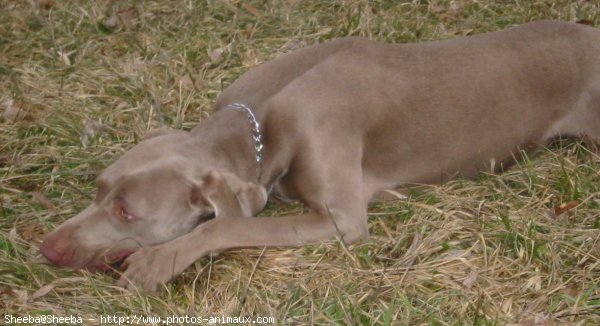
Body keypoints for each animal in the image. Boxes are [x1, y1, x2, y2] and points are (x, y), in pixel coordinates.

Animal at [41, 21, 600, 290]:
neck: (260, 125)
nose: (46, 249)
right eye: (97, 190)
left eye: (126, 212)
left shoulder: (340, 218)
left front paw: (161, 260)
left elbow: (229, 225)